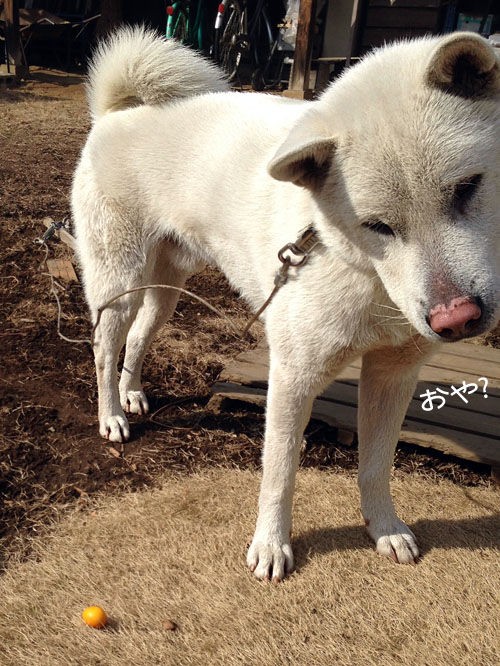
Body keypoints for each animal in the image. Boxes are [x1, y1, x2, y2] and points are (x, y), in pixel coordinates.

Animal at [72, 26, 498, 580]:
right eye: (377, 226)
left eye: (467, 189)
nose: (456, 318)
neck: (364, 272)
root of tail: (116, 113)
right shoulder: (294, 374)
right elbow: (279, 474)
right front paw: (271, 547)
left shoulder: (393, 371)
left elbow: (376, 466)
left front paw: (384, 527)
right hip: (117, 282)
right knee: (105, 350)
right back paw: (111, 416)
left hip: (166, 290)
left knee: (141, 337)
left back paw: (133, 394)